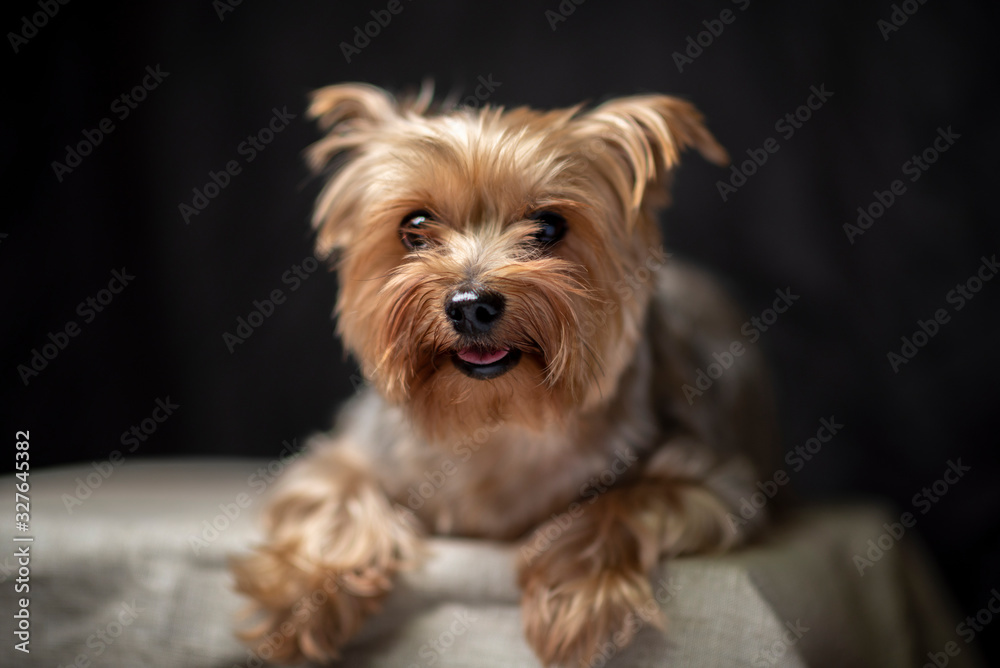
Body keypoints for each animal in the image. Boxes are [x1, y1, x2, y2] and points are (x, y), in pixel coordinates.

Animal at [230, 81, 776, 664]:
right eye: (414, 225)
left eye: (550, 226)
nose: (470, 305)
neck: (496, 418)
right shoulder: (348, 452)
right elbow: (336, 498)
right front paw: (297, 602)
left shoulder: (717, 481)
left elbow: (621, 500)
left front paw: (573, 600)